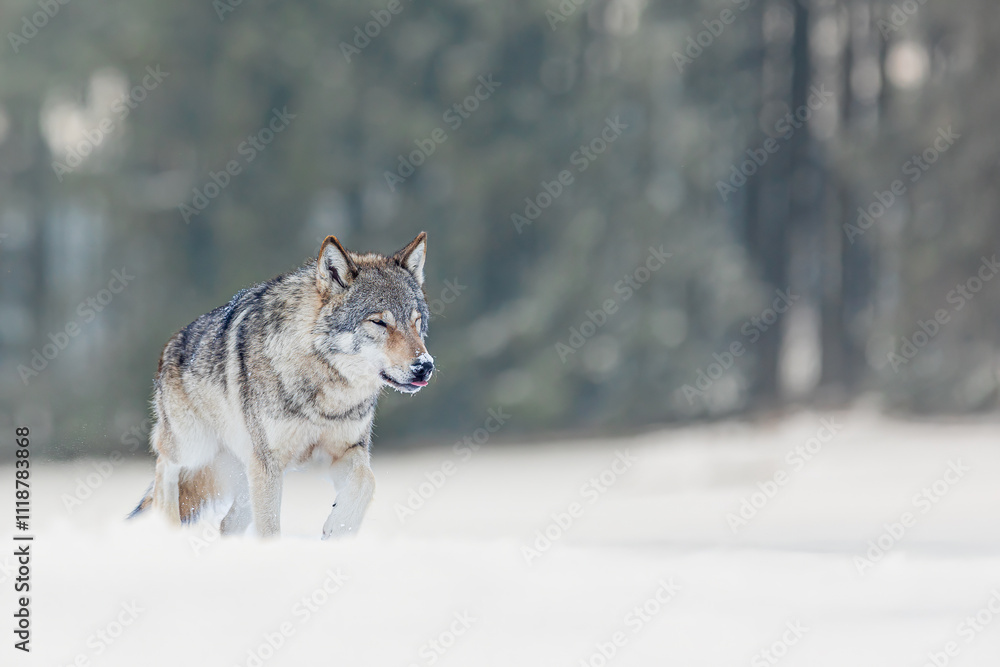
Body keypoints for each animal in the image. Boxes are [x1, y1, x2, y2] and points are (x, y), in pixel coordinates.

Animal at [129, 232, 433, 539]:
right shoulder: (268, 463)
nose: (424, 366)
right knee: (163, 469)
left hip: (242, 475)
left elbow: (367, 481)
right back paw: (166, 524)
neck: (326, 390)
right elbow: (269, 529)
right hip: (194, 449)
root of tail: (171, 344)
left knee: (226, 522)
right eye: (379, 322)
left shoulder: (342, 451)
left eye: (416, 322)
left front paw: (339, 528)